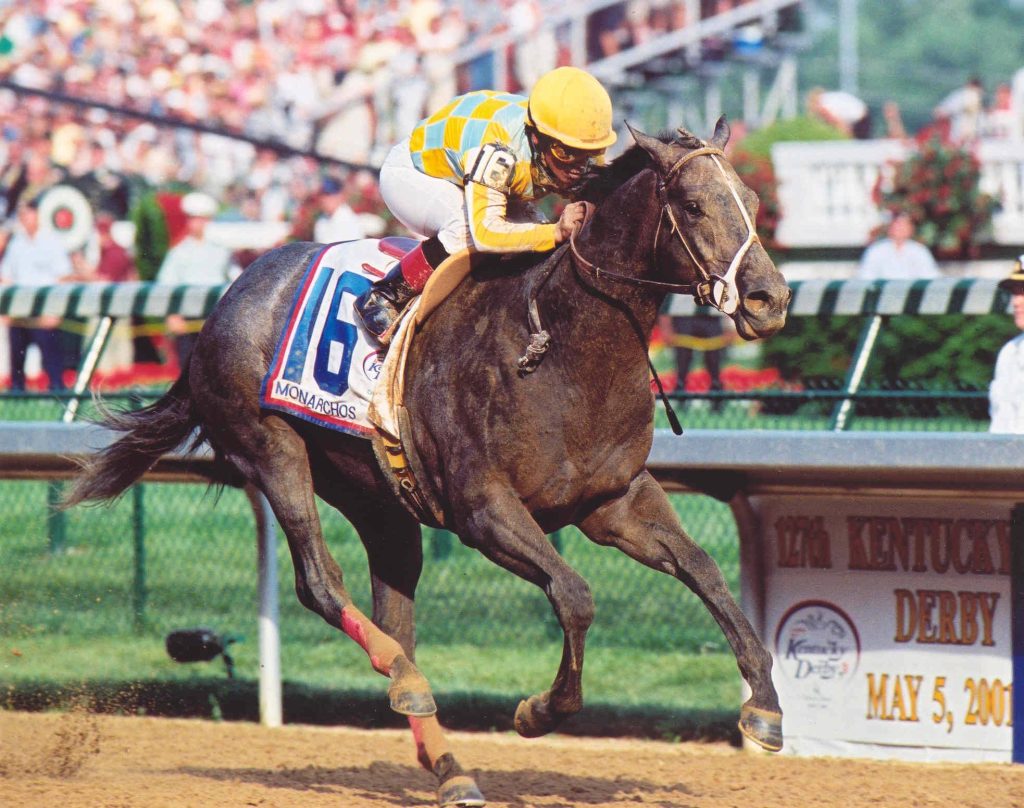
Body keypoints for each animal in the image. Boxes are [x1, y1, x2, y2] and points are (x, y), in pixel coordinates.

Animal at [65, 119, 791, 807]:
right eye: (693, 205)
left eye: (755, 200)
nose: (770, 299)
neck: (564, 345)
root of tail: (228, 297)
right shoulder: (483, 510)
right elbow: (575, 595)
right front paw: (537, 712)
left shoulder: (615, 501)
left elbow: (702, 569)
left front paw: (764, 707)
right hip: (271, 448)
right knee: (320, 583)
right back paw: (406, 682)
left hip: (380, 500)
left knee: (395, 614)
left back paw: (448, 767)